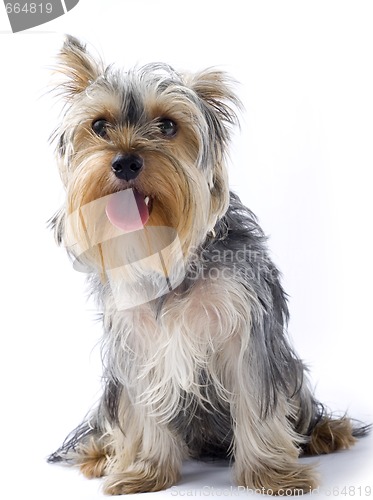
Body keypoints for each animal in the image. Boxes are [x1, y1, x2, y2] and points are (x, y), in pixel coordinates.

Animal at [48, 36, 368, 496]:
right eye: (99, 126)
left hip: (291, 370)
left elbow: (256, 399)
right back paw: (100, 454)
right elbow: (141, 412)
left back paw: (328, 434)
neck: (169, 253)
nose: (125, 162)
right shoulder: (138, 346)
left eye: (167, 126)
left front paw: (272, 474)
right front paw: (144, 471)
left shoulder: (247, 330)